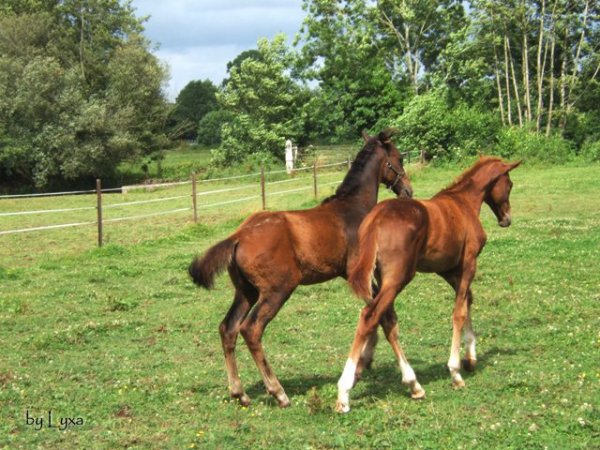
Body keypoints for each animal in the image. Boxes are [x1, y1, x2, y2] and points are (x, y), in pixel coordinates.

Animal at [189, 130, 412, 408]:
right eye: (399, 158)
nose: (408, 190)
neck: (353, 208)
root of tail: (239, 236)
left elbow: (375, 312)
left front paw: (363, 362)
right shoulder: (358, 273)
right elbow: (383, 313)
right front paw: (364, 364)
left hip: (246, 292)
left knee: (227, 328)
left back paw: (240, 392)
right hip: (278, 289)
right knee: (251, 329)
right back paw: (278, 392)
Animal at [338, 157, 520, 412]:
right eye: (509, 185)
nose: (506, 219)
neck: (463, 203)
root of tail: (375, 220)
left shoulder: (448, 269)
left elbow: (468, 300)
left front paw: (471, 357)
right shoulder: (469, 263)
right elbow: (459, 312)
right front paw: (455, 372)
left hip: (383, 279)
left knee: (387, 320)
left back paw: (413, 385)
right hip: (399, 278)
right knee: (370, 316)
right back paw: (344, 392)